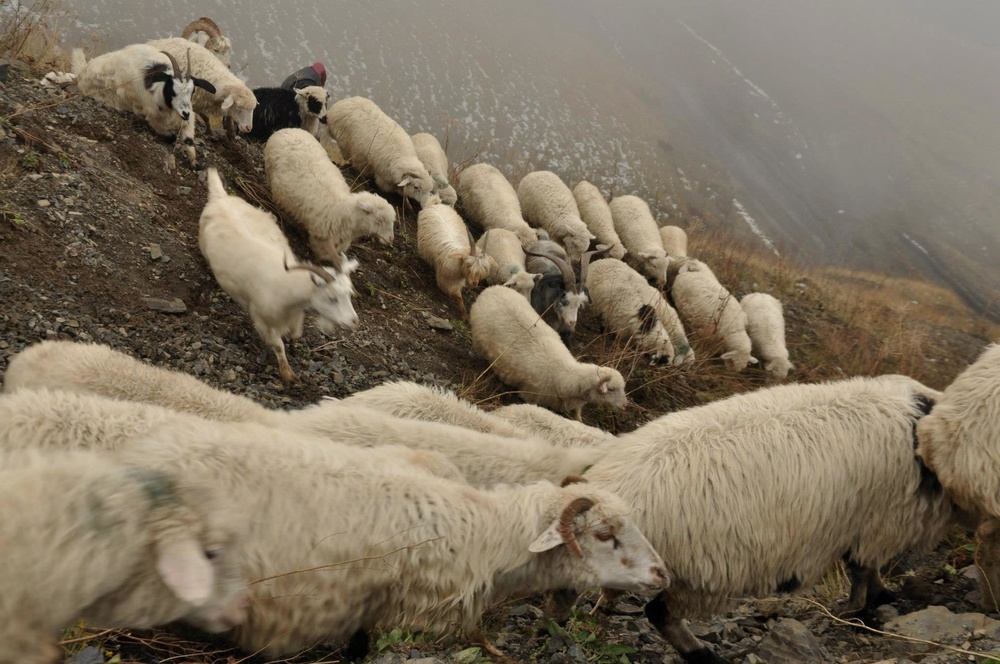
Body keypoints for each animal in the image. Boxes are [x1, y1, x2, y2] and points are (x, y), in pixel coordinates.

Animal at [66, 45, 215, 170]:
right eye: (172, 90)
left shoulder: (189, 119)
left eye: (192, 91)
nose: (185, 113)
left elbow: (189, 140)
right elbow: (171, 137)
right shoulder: (155, 120)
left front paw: (195, 163)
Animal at [199, 167, 359, 384]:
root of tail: (220, 197)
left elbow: (295, 334)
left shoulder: (295, 315)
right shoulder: (261, 319)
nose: (354, 321)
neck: (286, 286)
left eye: (350, 293)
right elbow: (277, 345)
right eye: (331, 297)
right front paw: (287, 374)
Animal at [265, 128, 396, 260]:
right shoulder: (320, 236)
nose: (390, 240)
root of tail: (288, 129)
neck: (342, 210)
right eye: (379, 221)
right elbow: (322, 253)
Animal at [470, 285, 628, 420]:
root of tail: (492, 288)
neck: (566, 374)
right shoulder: (529, 395)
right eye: (611, 389)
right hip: (479, 341)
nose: (625, 405)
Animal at [577, 376, 954, 663]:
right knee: (660, 614)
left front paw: (877, 598)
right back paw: (704, 655)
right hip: (700, 575)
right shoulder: (879, 524)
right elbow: (864, 571)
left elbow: (862, 568)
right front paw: (867, 606)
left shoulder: (864, 526)